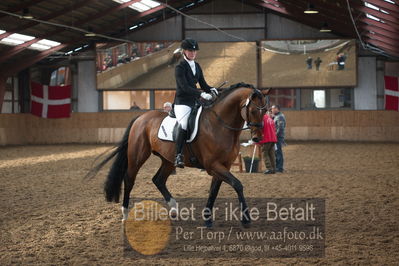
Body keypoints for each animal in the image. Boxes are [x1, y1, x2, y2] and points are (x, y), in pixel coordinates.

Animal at [90, 82, 268, 227]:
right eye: (253, 110)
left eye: (265, 110)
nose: (257, 138)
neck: (220, 125)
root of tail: (140, 118)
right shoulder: (213, 165)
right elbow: (237, 184)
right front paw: (246, 219)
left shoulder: (224, 165)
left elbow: (214, 190)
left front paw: (207, 219)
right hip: (137, 156)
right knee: (129, 179)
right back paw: (125, 213)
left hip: (168, 160)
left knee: (158, 179)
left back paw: (174, 209)